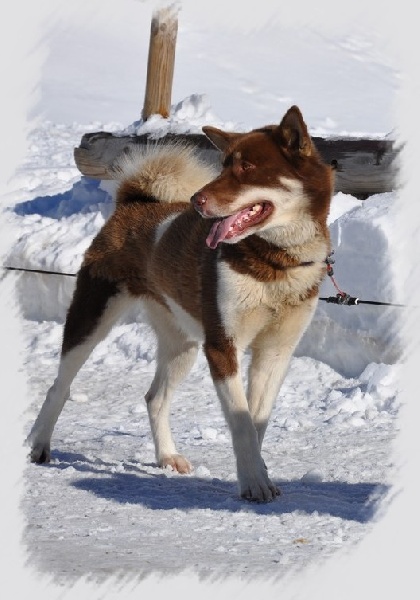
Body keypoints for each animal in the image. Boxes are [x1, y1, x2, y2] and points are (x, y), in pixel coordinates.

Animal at [27, 106, 334, 502]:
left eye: (247, 167)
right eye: (223, 165)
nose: (197, 200)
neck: (275, 262)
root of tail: (133, 202)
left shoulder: (275, 353)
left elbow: (256, 421)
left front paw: (259, 474)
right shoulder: (222, 348)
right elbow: (241, 423)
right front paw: (253, 480)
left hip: (182, 344)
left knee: (155, 398)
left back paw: (167, 456)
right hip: (92, 317)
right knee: (59, 386)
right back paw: (37, 444)